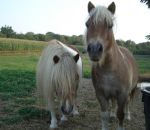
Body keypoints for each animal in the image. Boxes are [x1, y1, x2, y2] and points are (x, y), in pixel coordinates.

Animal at [84, 1, 139, 130]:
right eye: (87, 24)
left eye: (110, 25)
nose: (94, 49)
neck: (109, 69)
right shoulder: (101, 94)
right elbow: (105, 115)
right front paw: (110, 117)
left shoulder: (122, 94)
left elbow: (121, 115)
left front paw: (123, 119)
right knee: (113, 103)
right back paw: (113, 115)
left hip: (131, 90)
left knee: (128, 102)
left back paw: (128, 116)